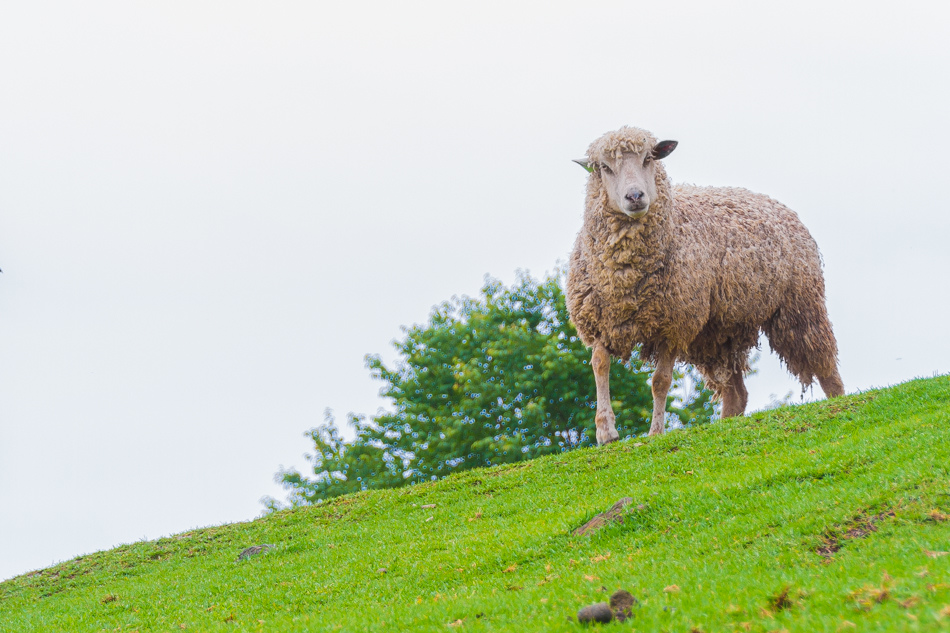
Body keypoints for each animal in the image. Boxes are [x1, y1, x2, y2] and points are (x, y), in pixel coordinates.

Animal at [568, 126, 844, 442]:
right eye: (603, 167)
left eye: (649, 158)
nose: (635, 196)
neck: (626, 278)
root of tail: (772, 201)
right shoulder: (601, 321)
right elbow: (600, 366)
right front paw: (605, 431)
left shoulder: (674, 325)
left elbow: (660, 381)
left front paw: (655, 432)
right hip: (719, 331)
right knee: (737, 394)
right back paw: (726, 425)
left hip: (800, 306)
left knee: (825, 365)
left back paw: (839, 400)